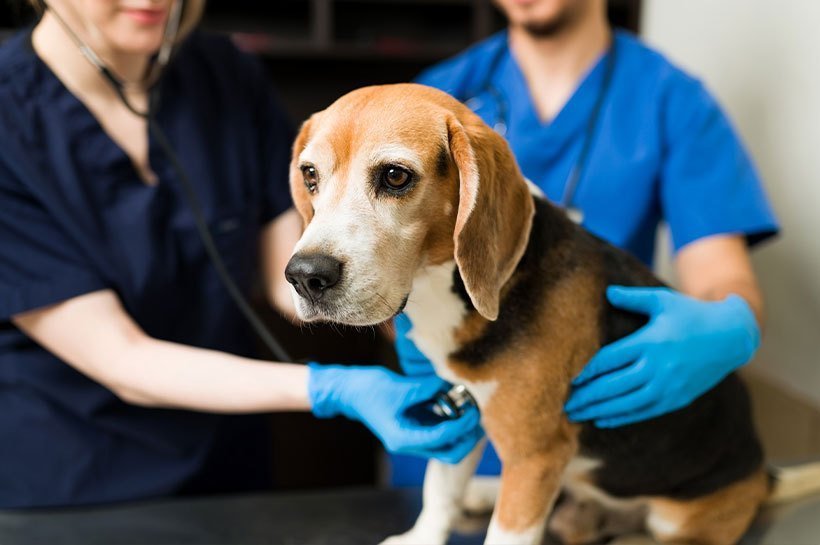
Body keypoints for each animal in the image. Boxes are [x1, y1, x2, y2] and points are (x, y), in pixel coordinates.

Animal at [282, 84, 812, 544]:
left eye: (395, 176)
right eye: (310, 176)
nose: (304, 276)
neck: (450, 290)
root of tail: (761, 474)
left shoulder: (536, 455)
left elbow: (505, 532)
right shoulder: (462, 410)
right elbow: (439, 490)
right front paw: (422, 538)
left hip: (675, 515)